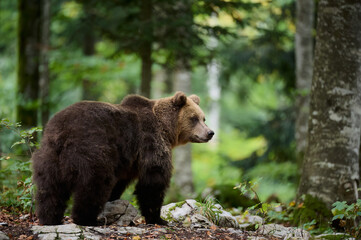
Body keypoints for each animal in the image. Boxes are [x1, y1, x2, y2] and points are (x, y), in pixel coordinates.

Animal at [31, 91, 214, 226]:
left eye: (203, 118)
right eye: (194, 118)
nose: (210, 132)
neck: (167, 130)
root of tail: (63, 130)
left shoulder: (128, 160)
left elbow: (120, 182)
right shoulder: (150, 140)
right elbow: (153, 179)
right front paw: (158, 218)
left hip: (49, 154)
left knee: (49, 188)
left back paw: (49, 218)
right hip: (92, 149)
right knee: (94, 184)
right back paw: (87, 219)